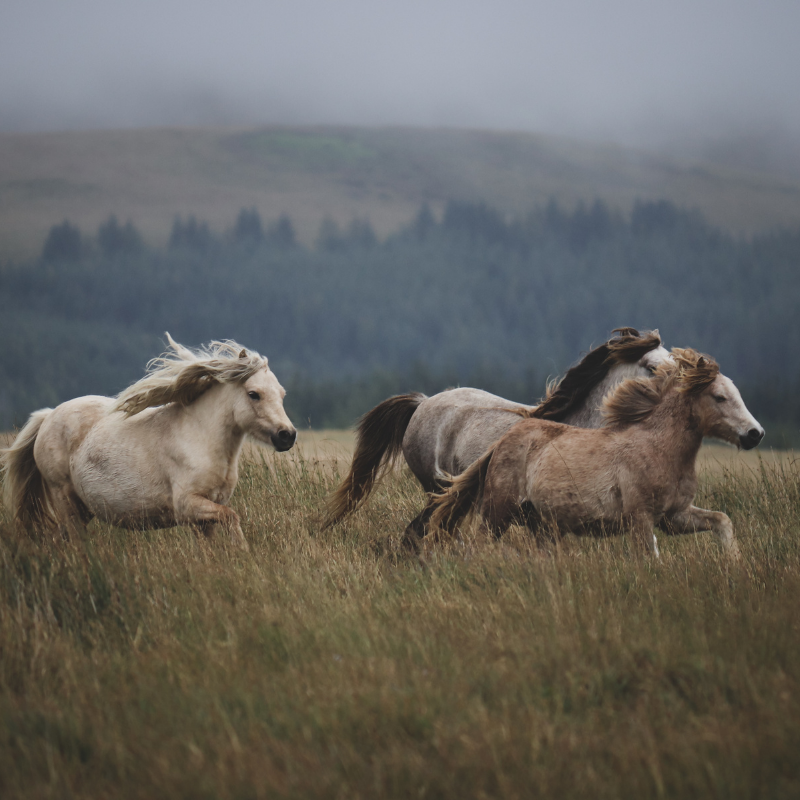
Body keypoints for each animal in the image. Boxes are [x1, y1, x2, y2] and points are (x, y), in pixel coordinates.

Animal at [1, 335, 297, 550]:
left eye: (282, 394)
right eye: (254, 394)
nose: (287, 435)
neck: (201, 439)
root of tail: (48, 415)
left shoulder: (204, 516)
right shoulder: (187, 505)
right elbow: (232, 517)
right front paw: (244, 553)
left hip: (82, 509)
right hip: (65, 499)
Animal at [430, 348, 764, 557]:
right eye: (719, 397)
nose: (755, 434)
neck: (659, 448)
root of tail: (501, 442)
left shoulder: (674, 517)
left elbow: (722, 521)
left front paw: (735, 565)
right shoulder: (641, 518)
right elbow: (650, 558)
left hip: (543, 525)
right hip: (498, 512)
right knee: (478, 544)